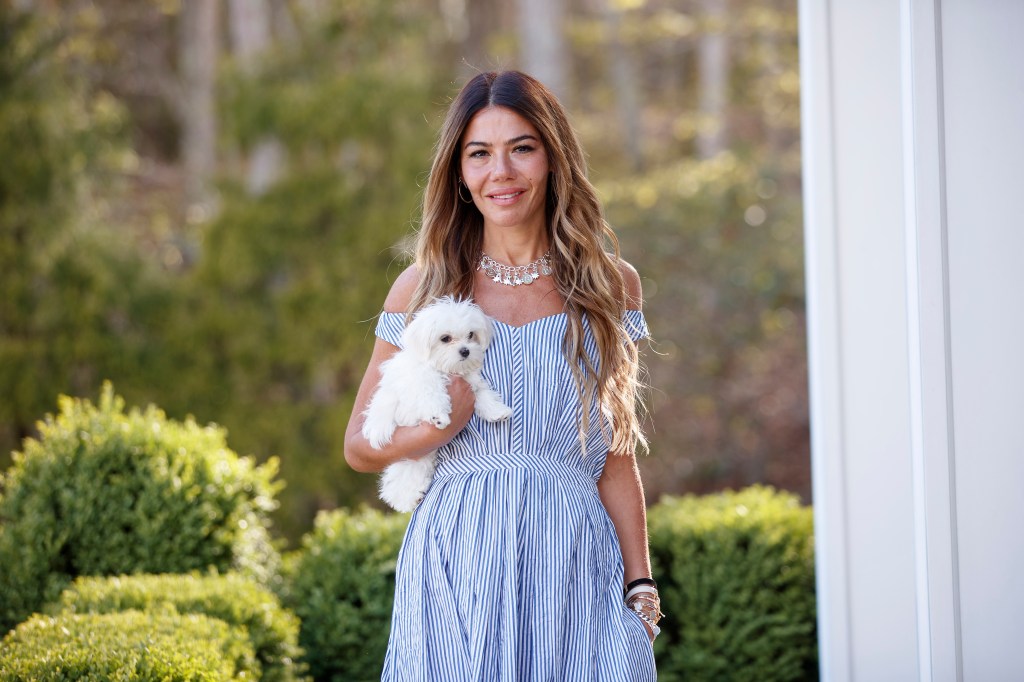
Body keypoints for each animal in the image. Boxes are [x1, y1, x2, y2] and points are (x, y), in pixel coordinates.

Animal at [366, 296, 512, 509]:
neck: (445, 368)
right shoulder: (422, 381)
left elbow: (483, 394)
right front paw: (439, 416)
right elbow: (432, 394)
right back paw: (407, 497)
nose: (465, 351)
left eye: (471, 335)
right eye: (445, 339)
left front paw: (497, 411)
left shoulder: (471, 381)